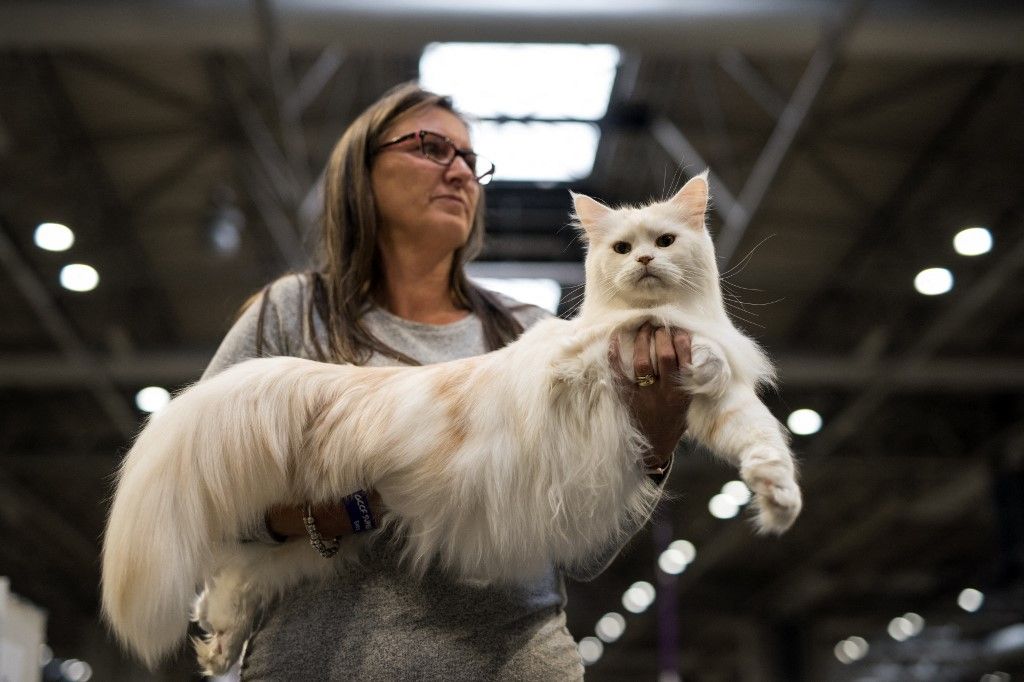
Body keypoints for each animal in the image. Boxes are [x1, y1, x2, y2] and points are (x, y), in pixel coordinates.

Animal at [101, 173, 798, 671]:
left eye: (666, 242)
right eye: (623, 248)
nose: (646, 263)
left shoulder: (714, 408)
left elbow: (761, 440)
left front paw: (778, 501)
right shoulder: (590, 349)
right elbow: (647, 326)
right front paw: (696, 347)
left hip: (305, 546)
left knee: (229, 584)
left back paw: (216, 645)